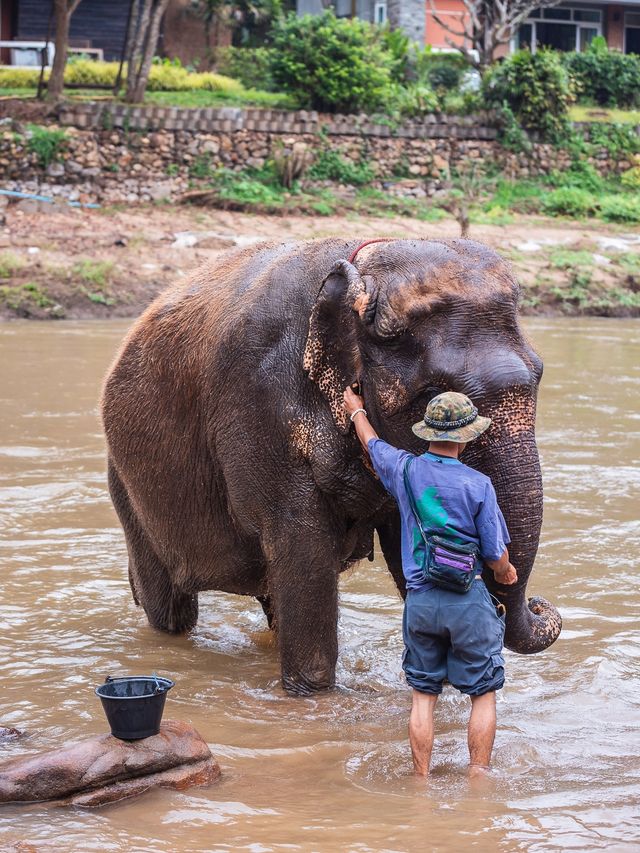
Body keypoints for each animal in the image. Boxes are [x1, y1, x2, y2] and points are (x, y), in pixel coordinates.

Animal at [100, 236, 560, 696]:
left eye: (539, 373)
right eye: (432, 393)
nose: (539, 604)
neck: (362, 269)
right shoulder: (260, 411)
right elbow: (304, 546)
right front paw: (312, 695)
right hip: (126, 489)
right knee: (170, 609)